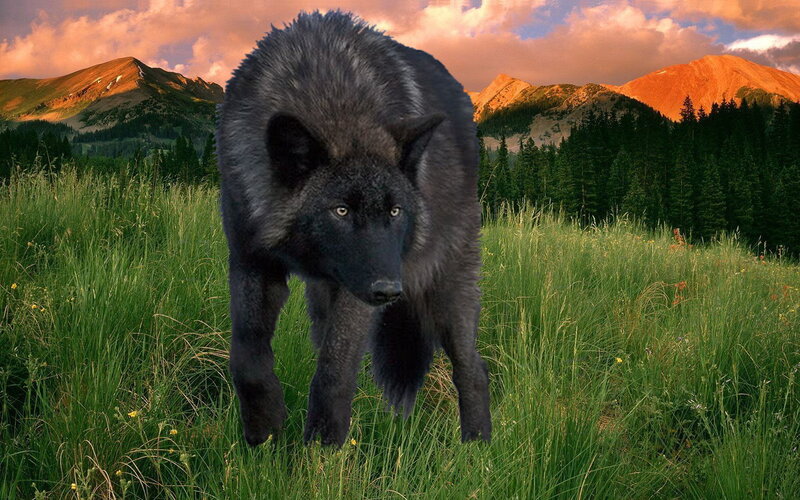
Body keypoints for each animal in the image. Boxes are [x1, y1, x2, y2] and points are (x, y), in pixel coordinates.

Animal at [216, 10, 490, 447]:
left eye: (394, 211)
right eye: (341, 210)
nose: (390, 291)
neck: (329, 96)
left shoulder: (357, 287)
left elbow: (335, 368)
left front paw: (321, 447)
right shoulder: (250, 259)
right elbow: (247, 358)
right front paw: (265, 433)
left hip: (445, 292)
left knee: (473, 368)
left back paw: (476, 449)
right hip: (325, 297)